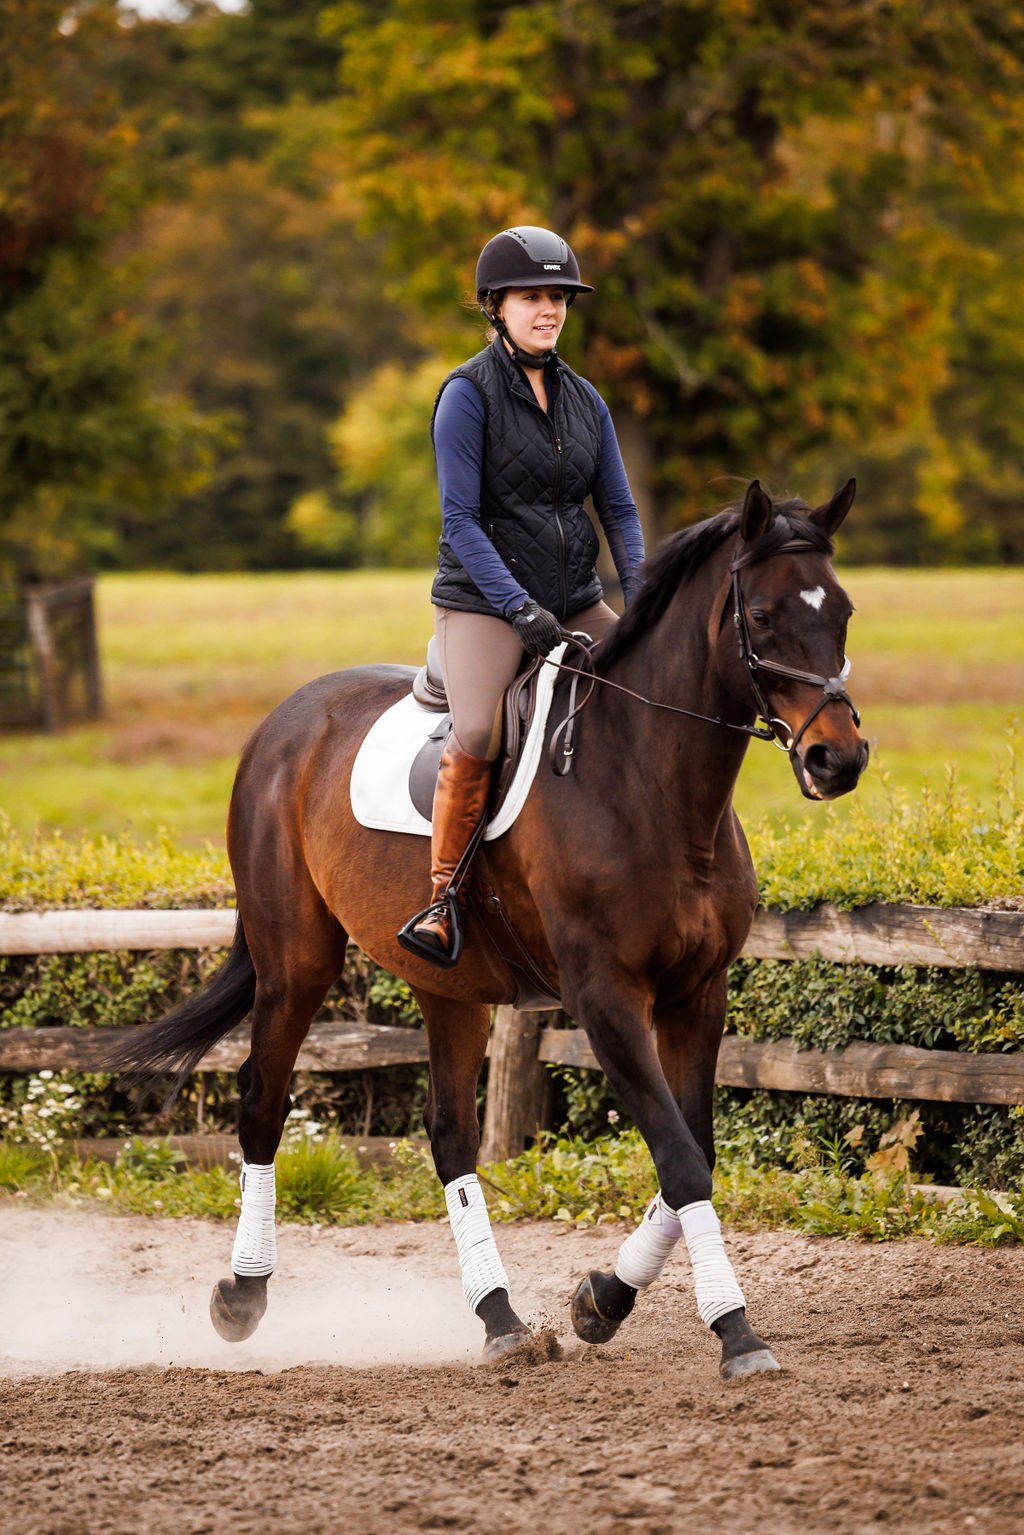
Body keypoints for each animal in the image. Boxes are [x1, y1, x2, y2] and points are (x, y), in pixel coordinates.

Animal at [116, 478, 868, 1381]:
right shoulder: (605, 996)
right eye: (760, 614)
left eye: (844, 611)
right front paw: (736, 1330)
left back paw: (500, 1316)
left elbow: (693, 1150)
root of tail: (283, 722)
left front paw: (601, 1299)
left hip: (451, 985)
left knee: (451, 1136)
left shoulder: (699, 991)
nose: (838, 760)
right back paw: (242, 1294)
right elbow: (682, 1159)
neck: (651, 780)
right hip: (295, 962)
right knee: (263, 1102)